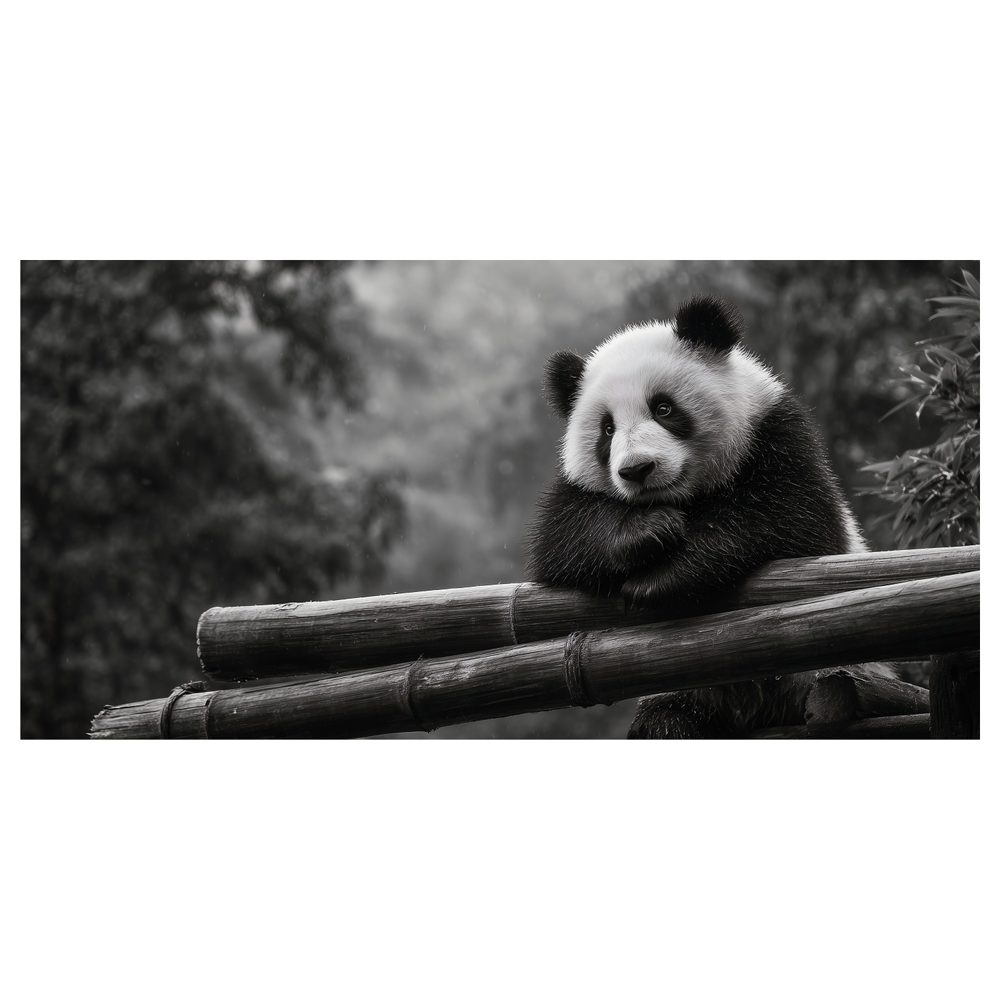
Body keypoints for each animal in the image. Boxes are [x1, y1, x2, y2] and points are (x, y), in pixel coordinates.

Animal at [526, 296, 891, 739]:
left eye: (663, 408)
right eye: (607, 429)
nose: (637, 470)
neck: (687, 497)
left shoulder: (775, 435)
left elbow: (786, 519)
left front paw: (658, 580)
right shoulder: (574, 492)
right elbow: (559, 542)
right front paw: (647, 531)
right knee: (666, 719)